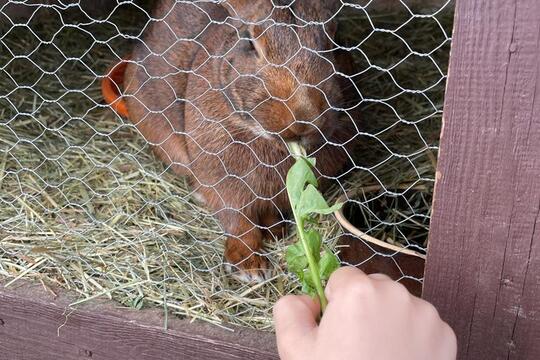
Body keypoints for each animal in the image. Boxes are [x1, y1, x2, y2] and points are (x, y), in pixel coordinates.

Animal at [116, 0, 358, 282]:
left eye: (334, 41)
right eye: (249, 42)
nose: (303, 118)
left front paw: (274, 230)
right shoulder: (224, 181)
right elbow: (238, 221)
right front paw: (249, 267)